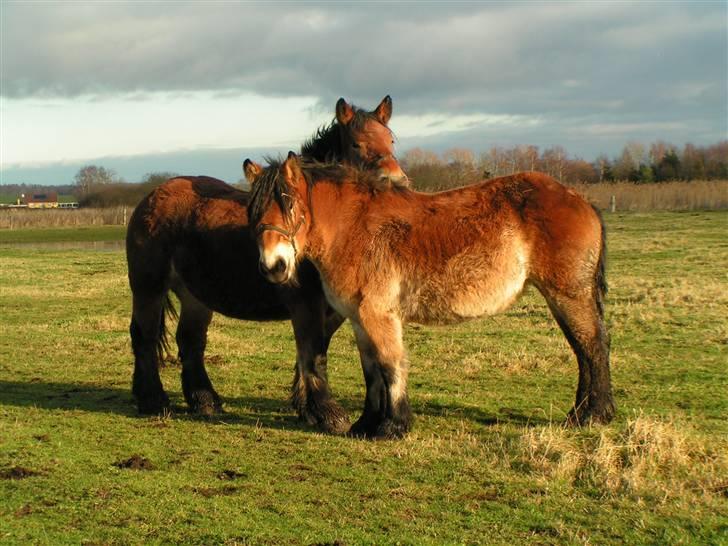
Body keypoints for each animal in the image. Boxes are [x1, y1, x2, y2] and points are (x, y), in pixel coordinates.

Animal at [124, 95, 404, 432]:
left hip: (195, 296)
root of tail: (153, 196)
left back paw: (204, 400)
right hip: (148, 287)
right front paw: (328, 413)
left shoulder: (334, 311)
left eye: (391, 140)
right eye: (356, 144)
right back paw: (153, 400)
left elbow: (310, 353)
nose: (396, 181)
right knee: (145, 335)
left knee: (190, 340)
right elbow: (314, 354)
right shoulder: (305, 305)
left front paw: (306, 408)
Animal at [247, 152, 616, 438]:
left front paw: (393, 427)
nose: (274, 266)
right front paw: (366, 425)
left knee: (591, 346)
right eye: (254, 211)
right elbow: (372, 371)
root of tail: (578, 199)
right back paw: (585, 413)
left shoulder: (378, 315)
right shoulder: (359, 319)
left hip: (568, 295)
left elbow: (390, 365)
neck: (354, 227)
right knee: (584, 350)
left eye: (289, 203)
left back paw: (591, 415)